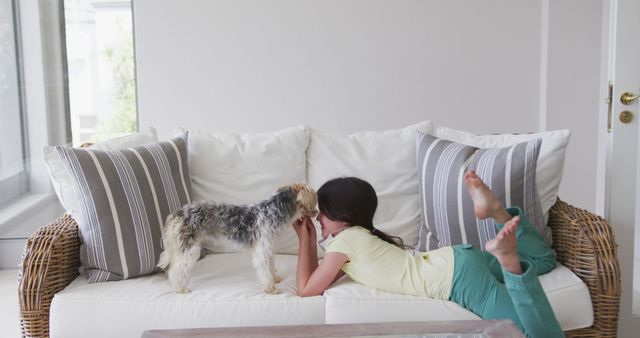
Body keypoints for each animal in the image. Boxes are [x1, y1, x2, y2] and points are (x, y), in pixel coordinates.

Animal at [158, 182, 318, 294]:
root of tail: (178, 213)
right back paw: (180, 288)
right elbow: (265, 271)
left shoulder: (268, 248)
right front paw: (271, 288)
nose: (317, 213)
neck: (272, 211)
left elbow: (271, 267)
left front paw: (275, 279)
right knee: (175, 271)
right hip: (189, 249)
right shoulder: (262, 252)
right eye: (314, 202)